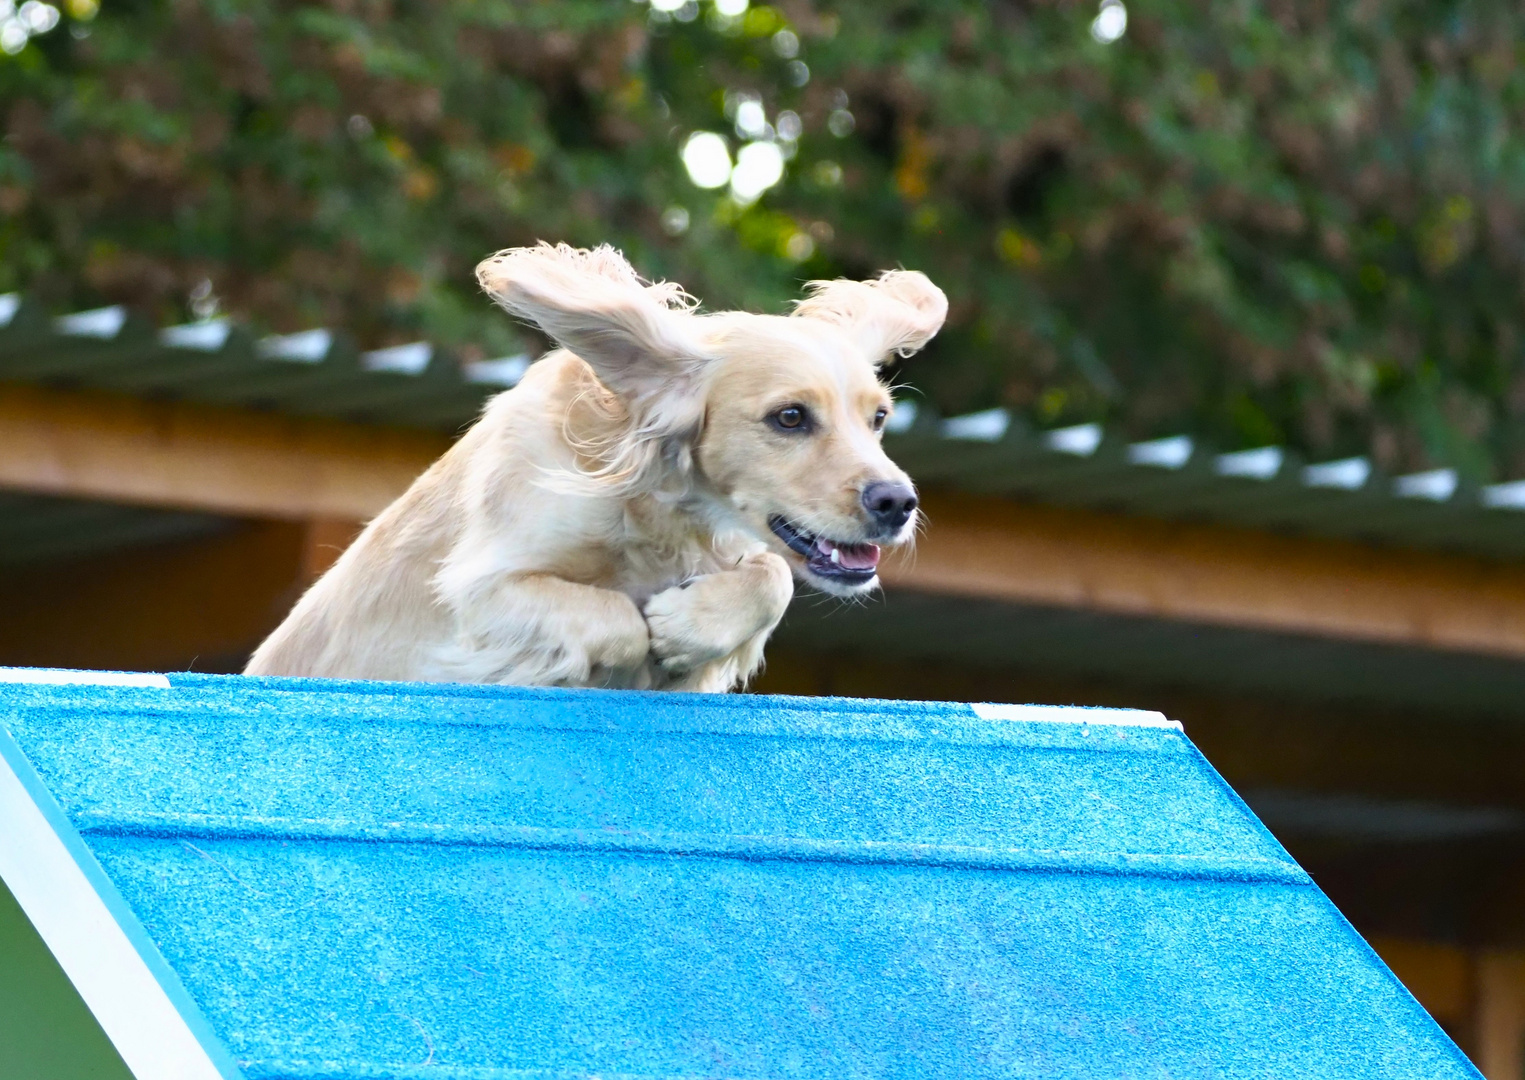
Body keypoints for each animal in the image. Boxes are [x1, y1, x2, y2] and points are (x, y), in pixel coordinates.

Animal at [244, 242, 945, 692]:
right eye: (790, 417)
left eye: (879, 418)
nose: (897, 502)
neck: (655, 506)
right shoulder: (482, 591)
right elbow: (618, 620)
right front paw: (652, 635)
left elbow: (771, 574)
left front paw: (687, 627)